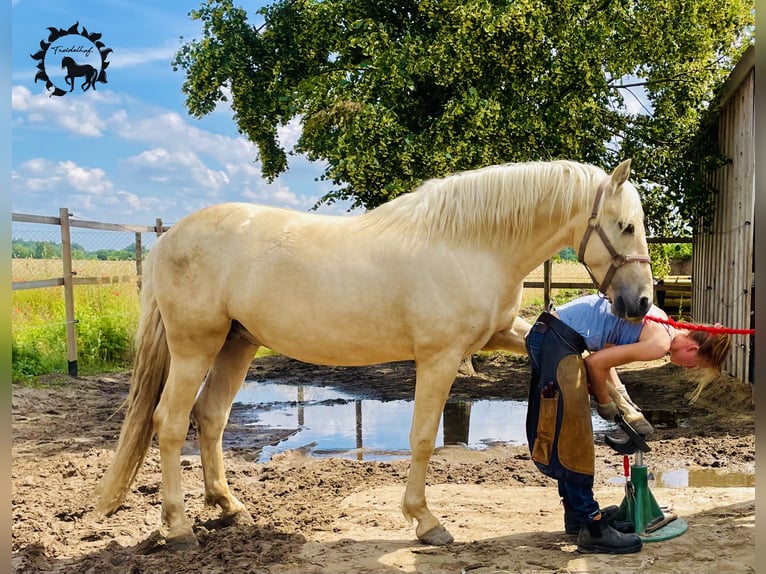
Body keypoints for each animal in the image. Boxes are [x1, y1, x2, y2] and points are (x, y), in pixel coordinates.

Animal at [99, 158, 656, 548]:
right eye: (626, 226)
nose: (642, 303)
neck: (469, 244)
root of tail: (169, 238)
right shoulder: (439, 356)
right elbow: (423, 439)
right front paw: (426, 521)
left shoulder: (499, 334)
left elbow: (582, 355)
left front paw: (628, 413)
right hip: (195, 346)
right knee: (170, 423)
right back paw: (178, 528)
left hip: (238, 343)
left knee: (210, 416)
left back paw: (230, 507)